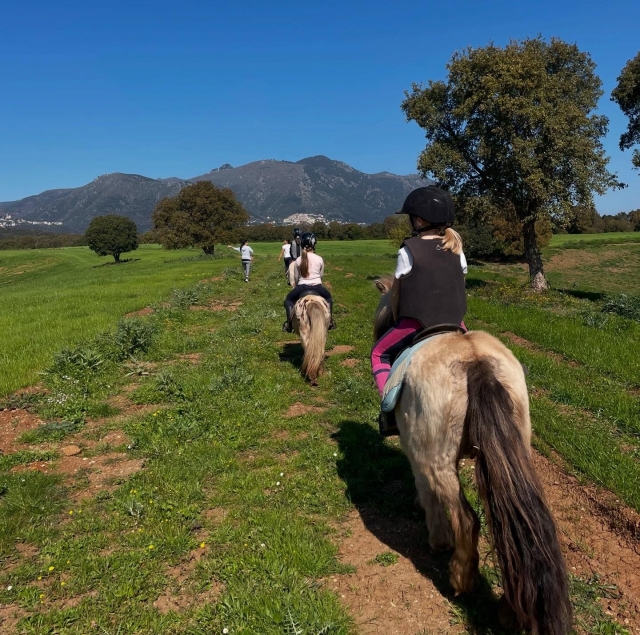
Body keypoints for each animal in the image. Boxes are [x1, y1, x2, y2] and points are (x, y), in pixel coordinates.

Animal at [373, 276, 571, 635]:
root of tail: (476, 364)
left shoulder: (416, 452)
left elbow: (426, 494)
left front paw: (436, 537)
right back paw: (511, 611)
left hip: (438, 461)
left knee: (467, 520)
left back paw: (460, 577)